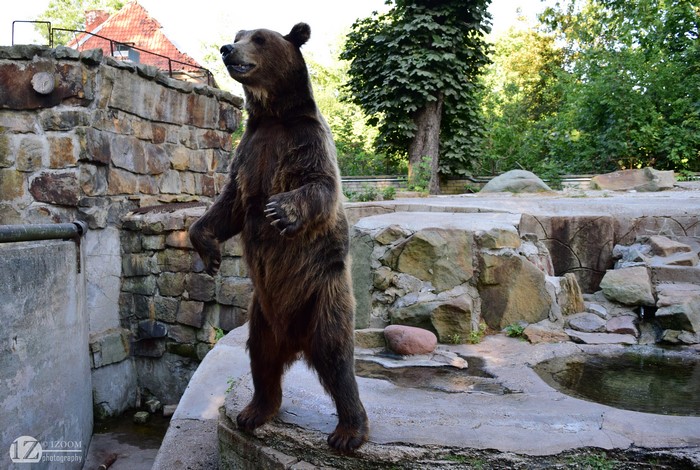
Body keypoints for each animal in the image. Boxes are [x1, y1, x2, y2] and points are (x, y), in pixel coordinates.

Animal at [188, 23, 369, 452]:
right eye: (238, 34)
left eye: (259, 39)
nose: (227, 48)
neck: (272, 115)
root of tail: (296, 341)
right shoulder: (249, 151)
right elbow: (229, 205)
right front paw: (209, 251)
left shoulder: (304, 140)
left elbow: (320, 185)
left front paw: (280, 211)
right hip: (261, 314)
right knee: (262, 358)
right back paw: (254, 411)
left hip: (323, 295)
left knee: (337, 358)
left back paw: (348, 431)